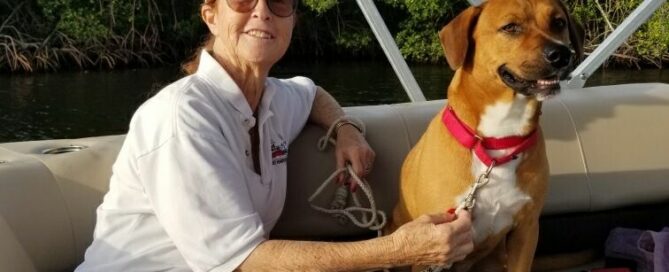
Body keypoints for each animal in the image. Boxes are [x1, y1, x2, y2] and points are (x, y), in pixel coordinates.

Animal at [388, 1, 580, 270]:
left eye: (559, 22)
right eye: (510, 27)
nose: (561, 54)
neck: (498, 140)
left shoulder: (526, 230)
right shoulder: (433, 239)